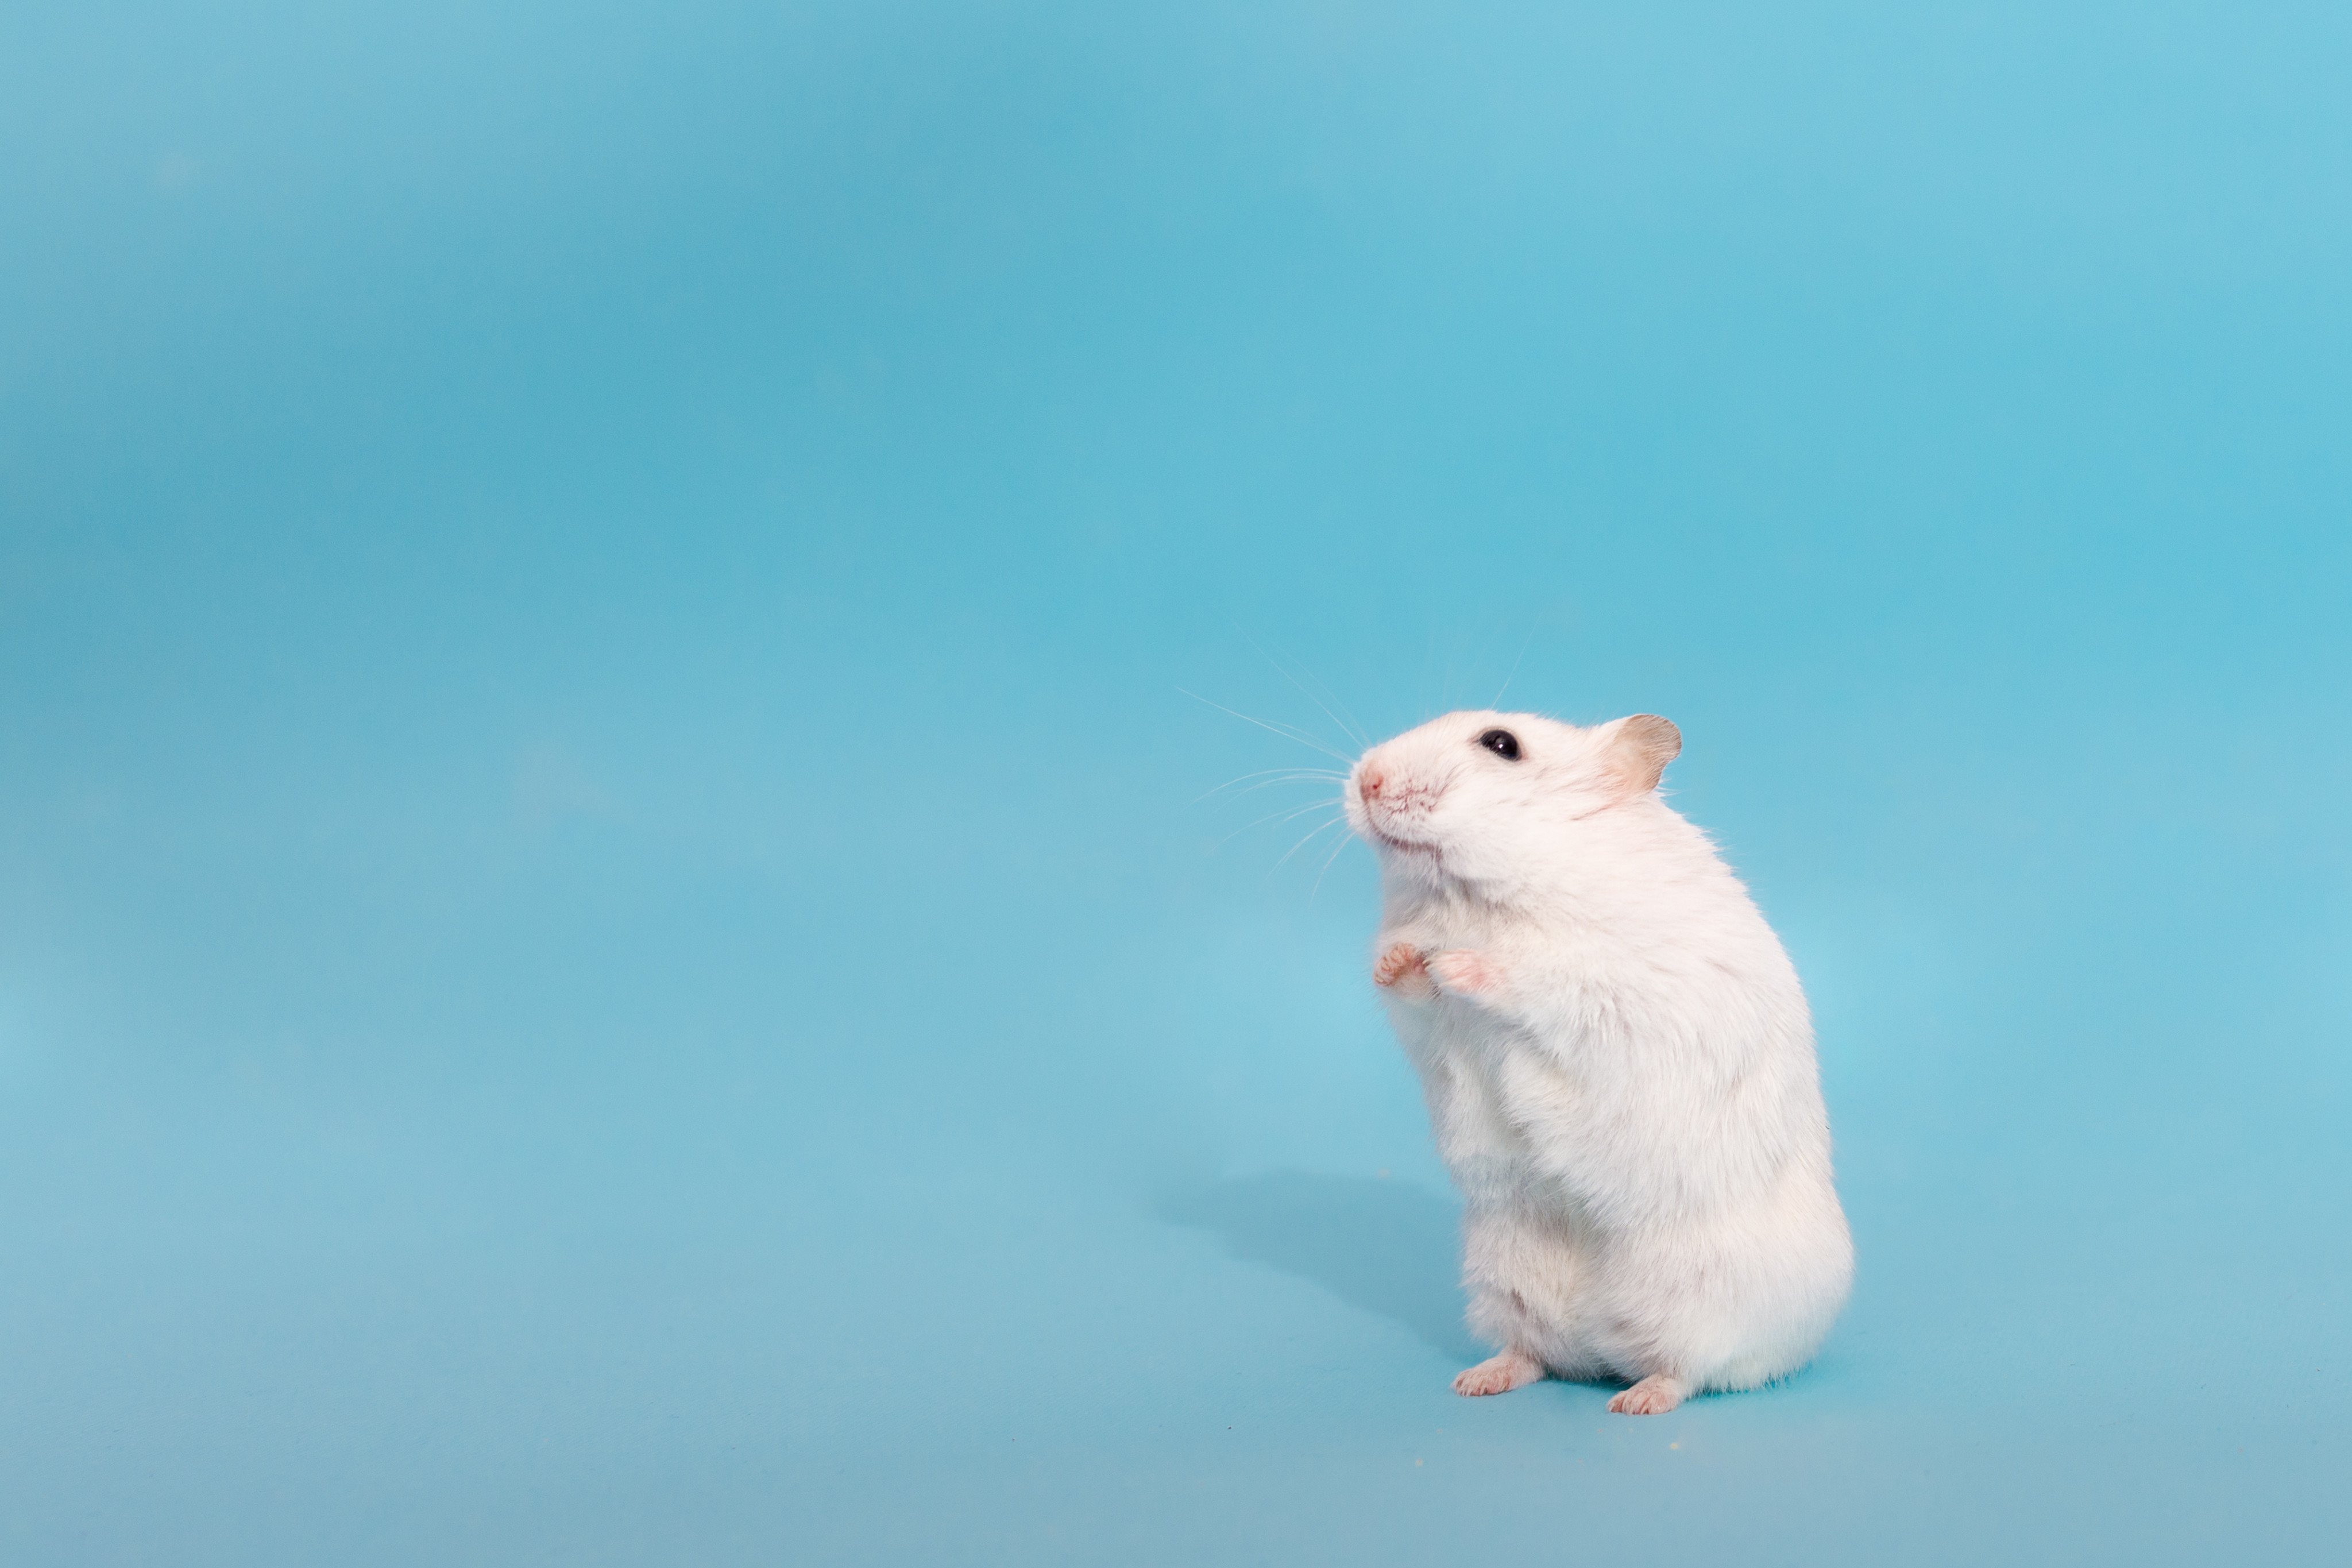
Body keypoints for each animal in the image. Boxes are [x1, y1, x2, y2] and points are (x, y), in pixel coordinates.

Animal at [1354, 705, 1844, 1420]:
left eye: (1502, 745)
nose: (1365, 781)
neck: (1473, 897)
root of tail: (1601, 1344)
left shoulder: (1613, 981)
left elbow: (1534, 977)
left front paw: (1459, 963)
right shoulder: (1431, 1022)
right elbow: (1411, 988)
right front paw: (1400, 961)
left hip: (1697, 1294)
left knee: (1691, 1369)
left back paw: (1636, 1403)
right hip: (1504, 1271)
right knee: (1540, 1354)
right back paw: (1479, 1380)